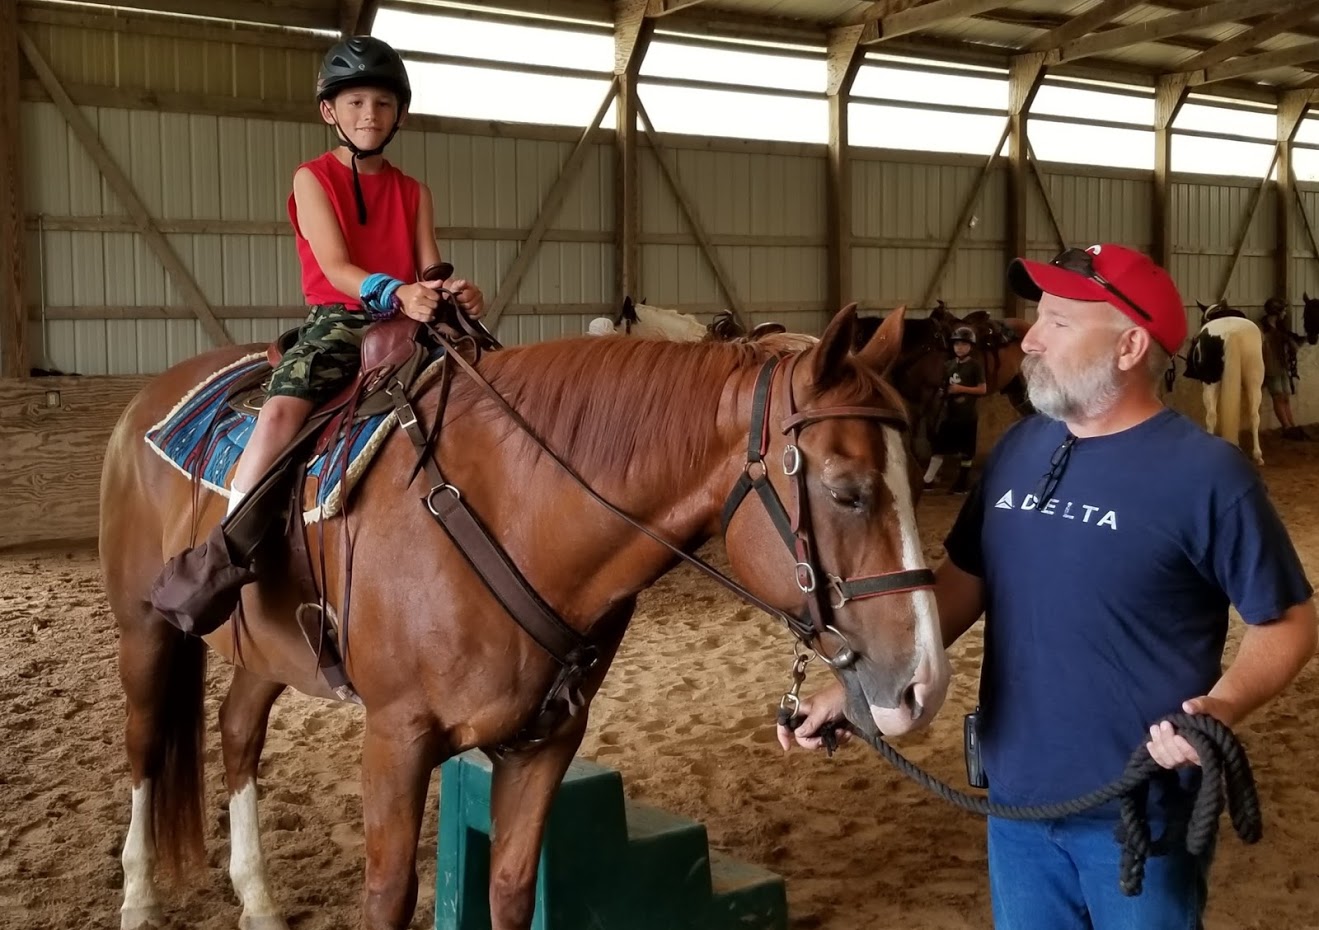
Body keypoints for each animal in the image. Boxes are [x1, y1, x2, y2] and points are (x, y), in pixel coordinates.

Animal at [100, 303, 951, 930]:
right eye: (845, 491)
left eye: (914, 476)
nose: (926, 685)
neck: (513, 508)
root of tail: (146, 401)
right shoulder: (395, 739)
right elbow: (387, 897)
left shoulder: (545, 740)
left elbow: (508, 891)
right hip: (145, 630)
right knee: (144, 751)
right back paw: (139, 902)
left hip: (267, 651)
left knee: (237, 733)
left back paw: (260, 902)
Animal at [1185, 300, 1266, 465]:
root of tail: (1232, 333)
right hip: (1254, 382)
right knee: (1254, 416)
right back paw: (1257, 455)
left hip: (1210, 384)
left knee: (1211, 416)